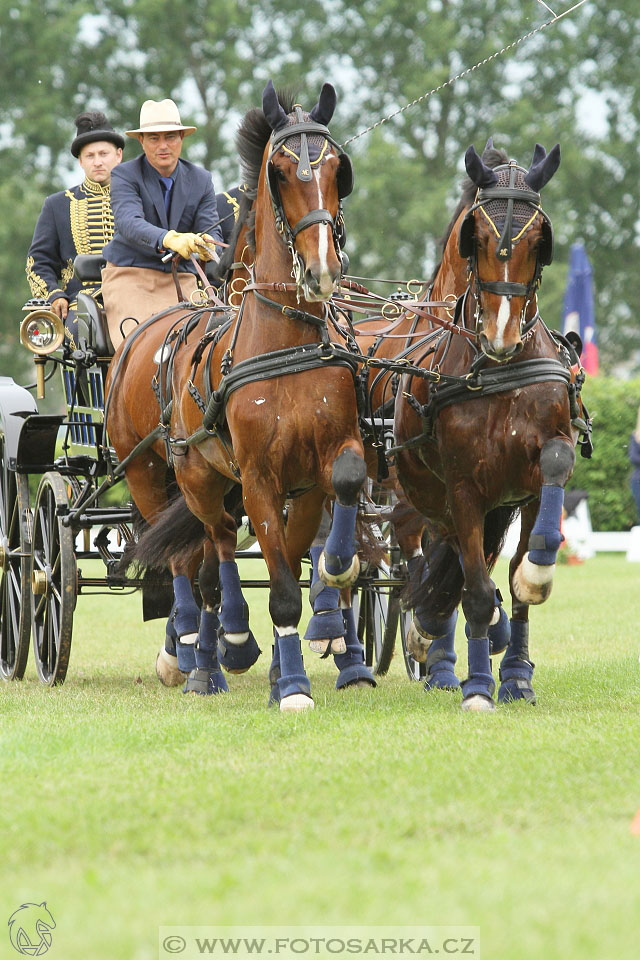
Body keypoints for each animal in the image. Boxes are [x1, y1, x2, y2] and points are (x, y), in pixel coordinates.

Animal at [390, 144, 592, 712]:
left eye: (541, 239)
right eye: (475, 236)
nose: (500, 335)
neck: (499, 371)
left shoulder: (533, 477)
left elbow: (527, 560)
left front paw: (517, 672)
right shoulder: (463, 488)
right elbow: (475, 592)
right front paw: (479, 687)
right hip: (426, 499)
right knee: (443, 559)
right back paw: (438, 651)